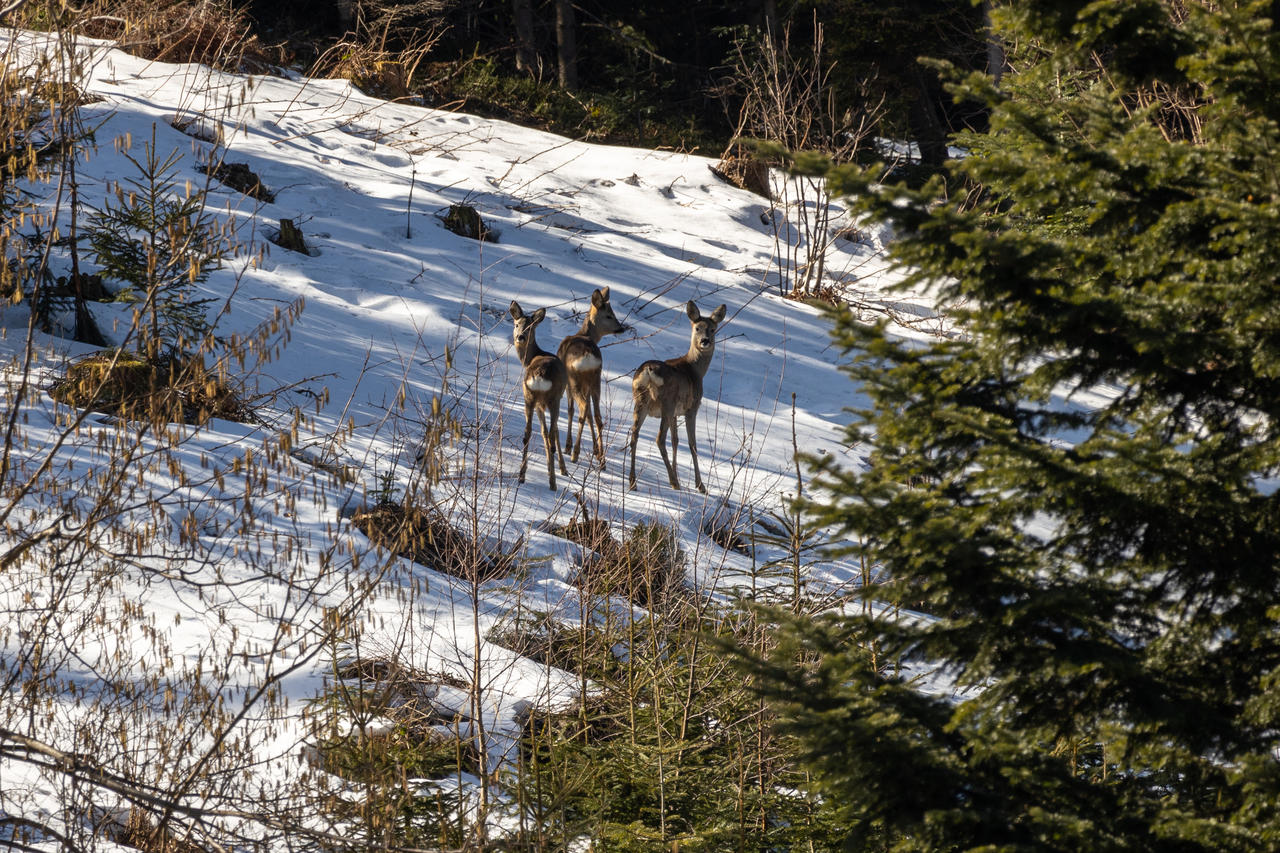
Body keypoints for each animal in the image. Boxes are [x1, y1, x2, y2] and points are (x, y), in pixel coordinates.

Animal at [509, 300, 570, 489]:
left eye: (529, 327)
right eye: (516, 324)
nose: (520, 337)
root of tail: (539, 375)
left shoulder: (537, 405)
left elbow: (542, 431)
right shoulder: (554, 400)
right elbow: (552, 432)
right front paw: (562, 470)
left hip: (529, 398)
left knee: (527, 434)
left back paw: (521, 476)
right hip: (553, 398)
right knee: (551, 436)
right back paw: (553, 483)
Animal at [558, 285, 627, 466]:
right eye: (609, 315)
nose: (621, 328)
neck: (585, 334)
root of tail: (588, 357)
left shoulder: (566, 382)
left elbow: (570, 410)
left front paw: (567, 447)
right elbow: (591, 415)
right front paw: (596, 451)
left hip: (575, 380)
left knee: (582, 410)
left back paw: (574, 453)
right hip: (596, 380)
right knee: (597, 416)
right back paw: (602, 460)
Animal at [624, 300, 727, 491]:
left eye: (712, 329)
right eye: (697, 328)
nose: (705, 341)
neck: (695, 370)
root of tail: (648, 371)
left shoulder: (675, 415)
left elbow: (676, 441)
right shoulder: (691, 408)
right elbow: (692, 445)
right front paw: (700, 485)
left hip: (640, 401)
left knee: (634, 435)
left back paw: (633, 482)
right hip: (667, 403)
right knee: (659, 439)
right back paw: (674, 482)